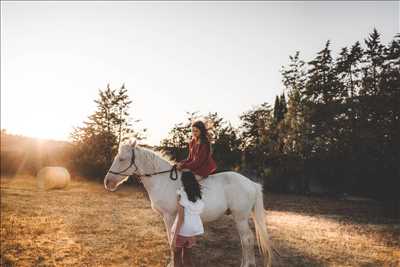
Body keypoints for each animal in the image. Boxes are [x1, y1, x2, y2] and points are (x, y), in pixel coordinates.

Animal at [103, 140, 274, 267]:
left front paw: (172, 263)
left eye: (121, 159)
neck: (162, 180)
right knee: (245, 240)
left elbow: (171, 240)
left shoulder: (169, 216)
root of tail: (252, 183)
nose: (107, 182)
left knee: (247, 240)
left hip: (241, 218)